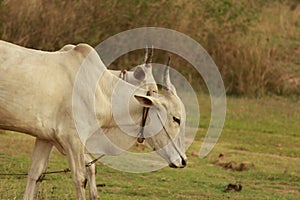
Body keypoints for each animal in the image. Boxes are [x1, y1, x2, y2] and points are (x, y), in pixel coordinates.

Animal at [0, 39, 186, 199]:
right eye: (176, 119)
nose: (183, 161)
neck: (102, 91)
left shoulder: (45, 138)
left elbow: (35, 174)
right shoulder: (73, 140)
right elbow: (80, 178)